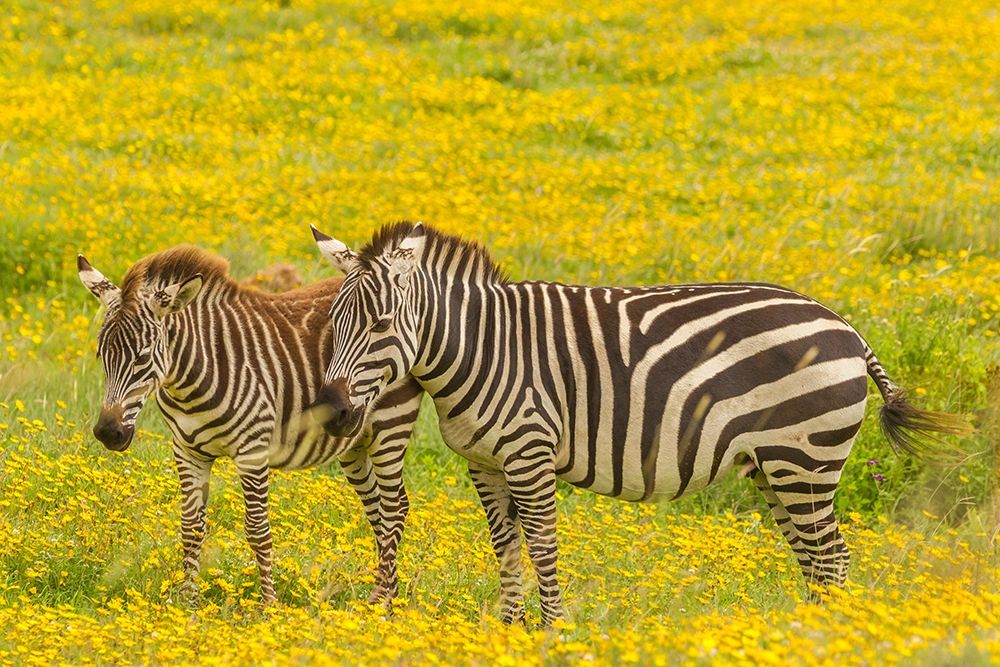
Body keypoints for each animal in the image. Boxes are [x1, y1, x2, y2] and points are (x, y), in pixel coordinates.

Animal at [77, 245, 423, 605]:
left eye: (142, 358)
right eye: (101, 355)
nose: (108, 432)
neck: (193, 376)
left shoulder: (253, 451)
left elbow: (258, 530)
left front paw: (268, 605)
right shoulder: (187, 451)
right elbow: (191, 527)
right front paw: (188, 602)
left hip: (390, 423)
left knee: (395, 507)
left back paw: (384, 602)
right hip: (355, 439)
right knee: (377, 510)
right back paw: (385, 595)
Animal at [309, 221, 970, 626]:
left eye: (381, 325)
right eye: (333, 322)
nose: (336, 411)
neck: (482, 348)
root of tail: (846, 327)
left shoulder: (530, 451)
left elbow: (542, 545)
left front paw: (551, 632)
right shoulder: (485, 464)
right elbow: (506, 547)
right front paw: (508, 628)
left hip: (803, 458)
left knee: (831, 558)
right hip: (775, 466)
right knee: (815, 560)